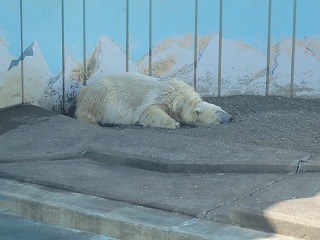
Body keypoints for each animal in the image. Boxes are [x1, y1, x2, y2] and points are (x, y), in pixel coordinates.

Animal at [74, 72, 231, 129]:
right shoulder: (158, 96)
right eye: (217, 112)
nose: (230, 117)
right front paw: (174, 123)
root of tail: (84, 90)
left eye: (221, 109)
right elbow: (147, 111)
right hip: (102, 94)